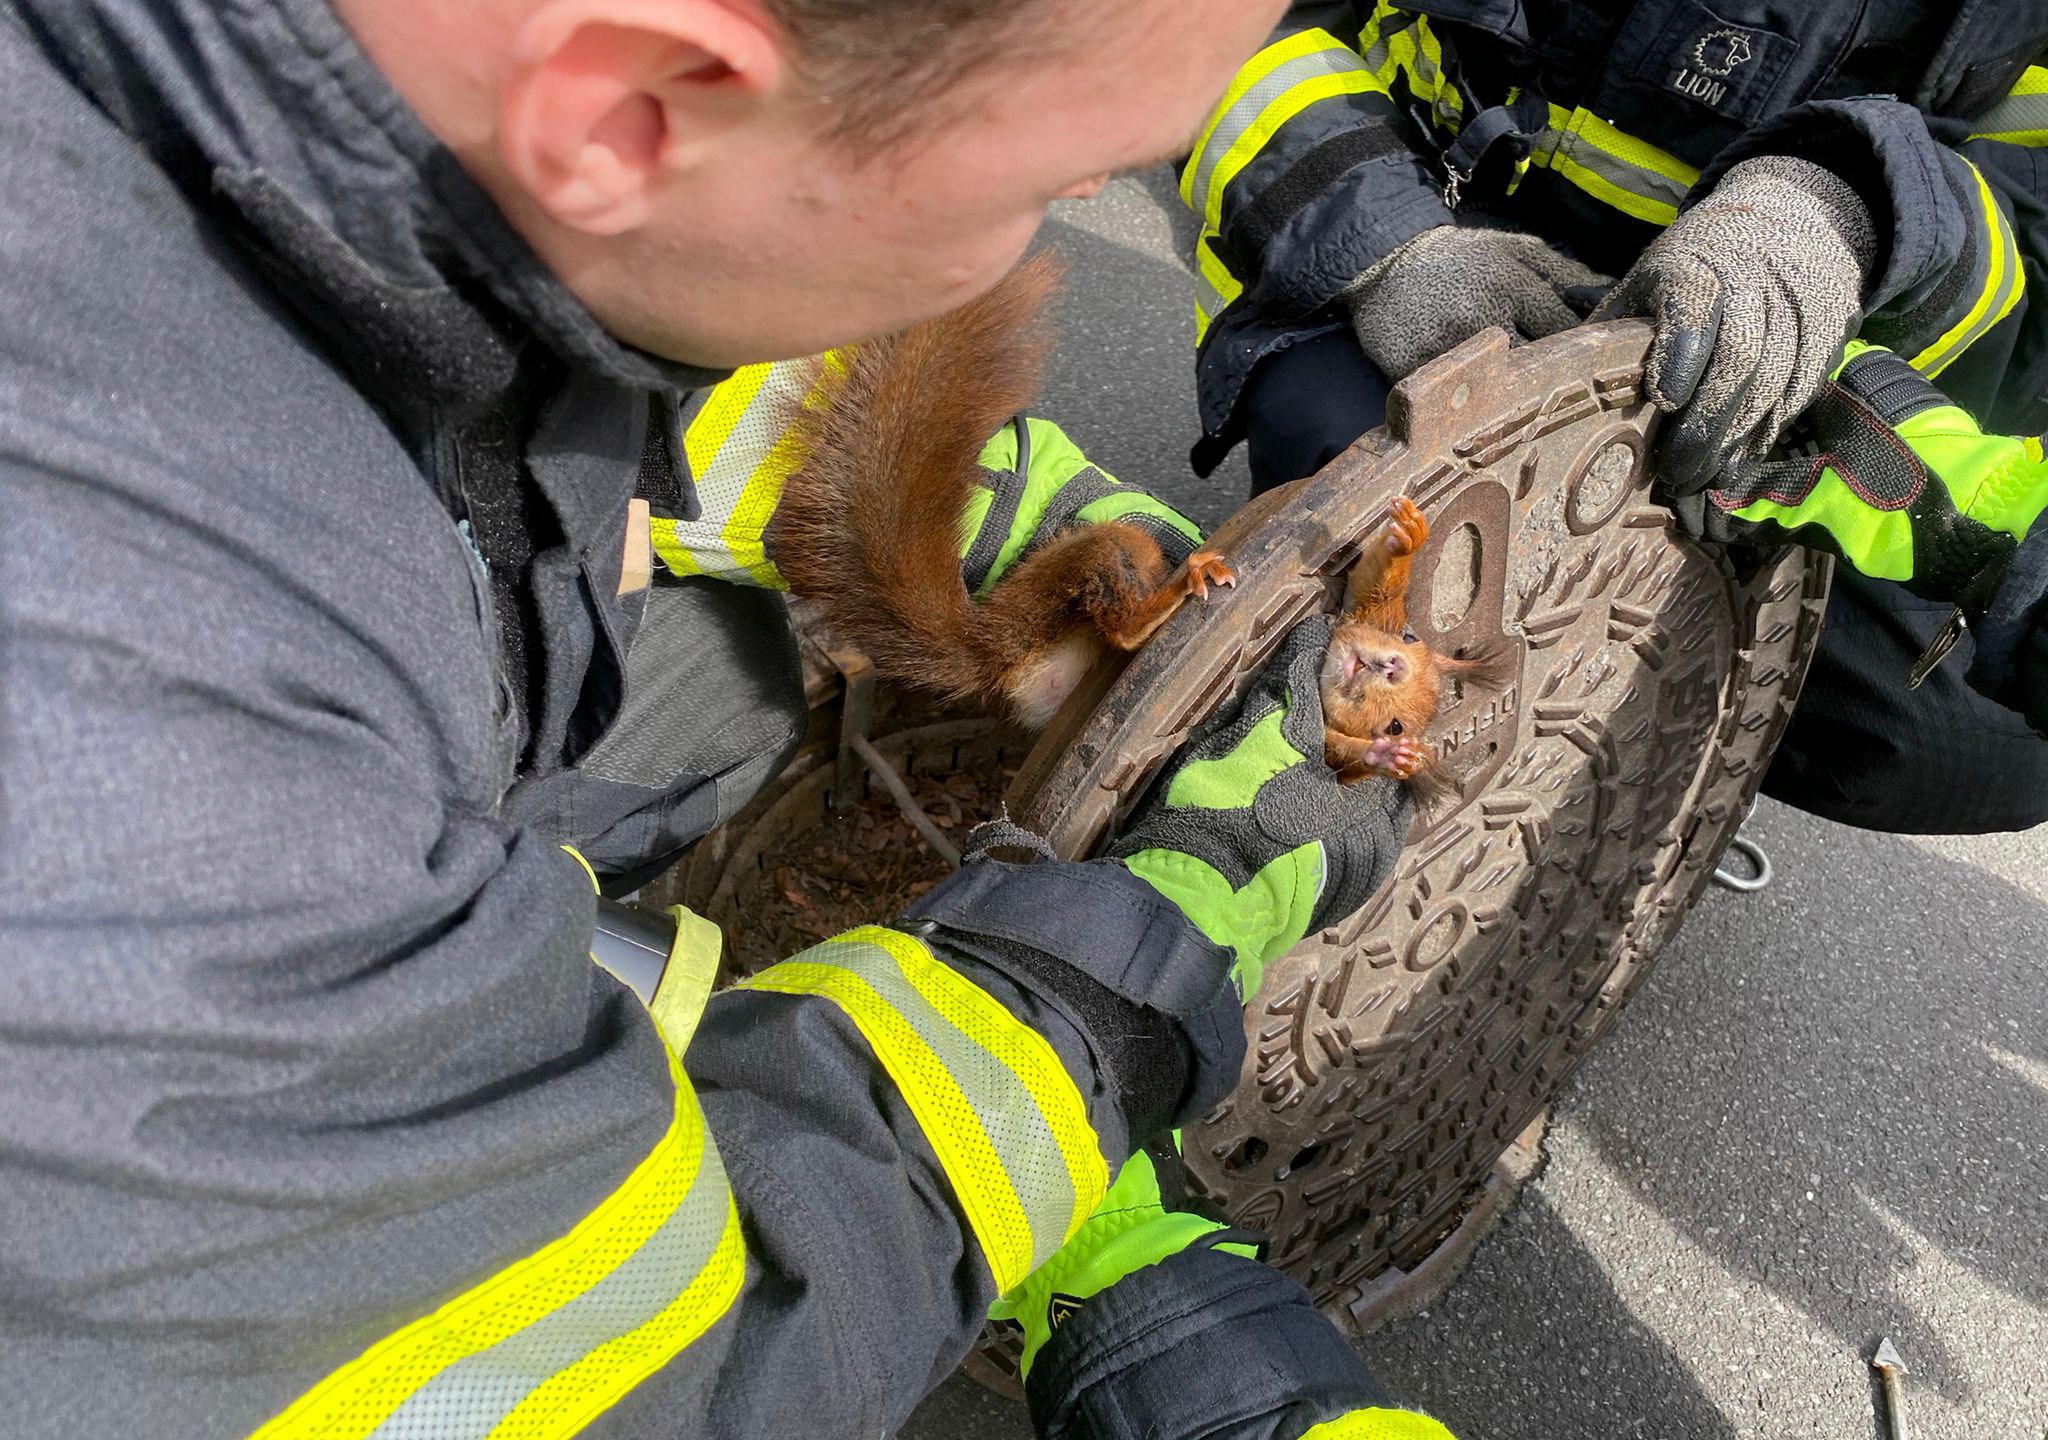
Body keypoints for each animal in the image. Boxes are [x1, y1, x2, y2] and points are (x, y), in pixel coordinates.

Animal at [1327, 501, 1523, 798]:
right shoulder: (1368, 613)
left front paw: (1385, 758)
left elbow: (1337, 758)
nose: (1394, 667)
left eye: (1395, 727)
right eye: (1408, 636)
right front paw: (1409, 536)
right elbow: (1371, 584)